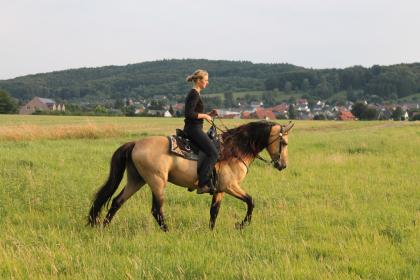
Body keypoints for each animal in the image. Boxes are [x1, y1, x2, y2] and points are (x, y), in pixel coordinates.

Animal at [87, 119, 294, 231]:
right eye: (284, 143)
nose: (282, 165)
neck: (234, 150)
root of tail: (135, 143)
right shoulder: (230, 186)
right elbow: (251, 201)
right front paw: (241, 225)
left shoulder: (220, 189)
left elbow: (214, 211)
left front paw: (211, 232)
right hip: (157, 182)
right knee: (156, 210)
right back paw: (168, 232)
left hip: (137, 180)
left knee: (116, 201)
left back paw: (103, 227)